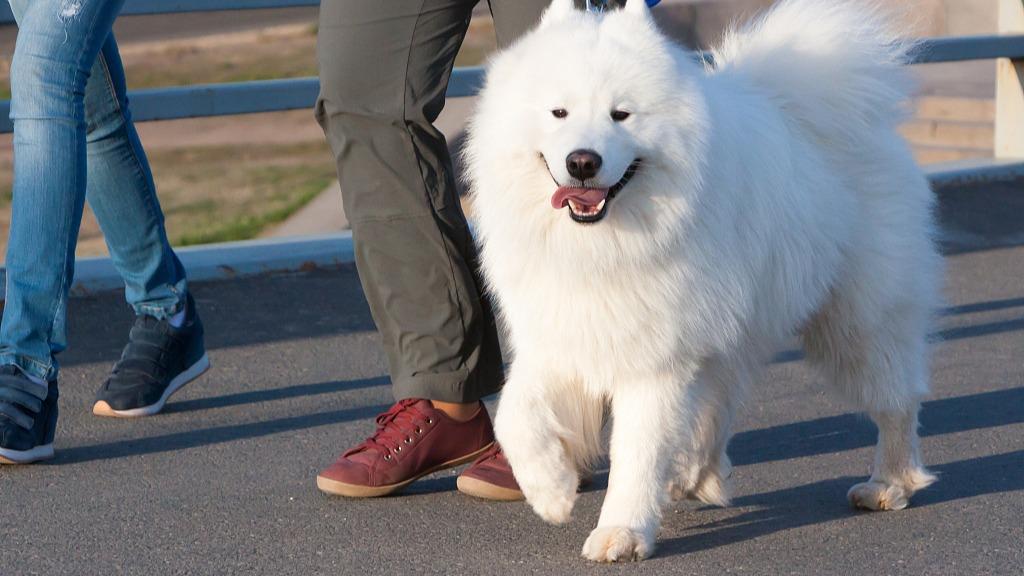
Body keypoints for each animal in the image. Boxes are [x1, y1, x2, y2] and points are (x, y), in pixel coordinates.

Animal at [464, 0, 940, 562]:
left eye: (621, 115)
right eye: (558, 113)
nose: (582, 161)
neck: (601, 246)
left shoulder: (654, 358)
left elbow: (637, 452)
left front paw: (621, 531)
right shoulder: (560, 335)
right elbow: (513, 417)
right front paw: (551, 492)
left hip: (857, 321)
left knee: (896, 402)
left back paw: (889, 483)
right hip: (733, 323)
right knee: (719, 399)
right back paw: (694, 475)